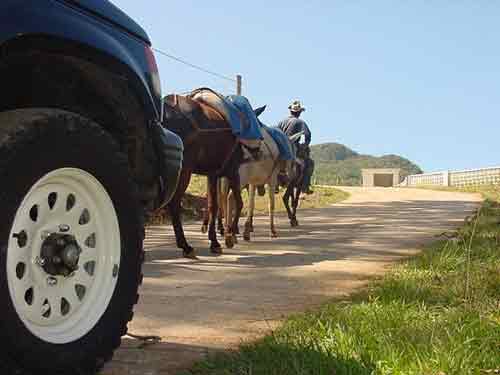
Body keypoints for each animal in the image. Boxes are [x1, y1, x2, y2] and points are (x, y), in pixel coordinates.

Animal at [163, 92, 243, 260]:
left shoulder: (212, 173)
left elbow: (213, 204)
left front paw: (215, 241)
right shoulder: (233, 171)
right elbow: (238, 203)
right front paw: (230, 235)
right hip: (184, 170)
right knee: (174, 203)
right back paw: (185, 246)